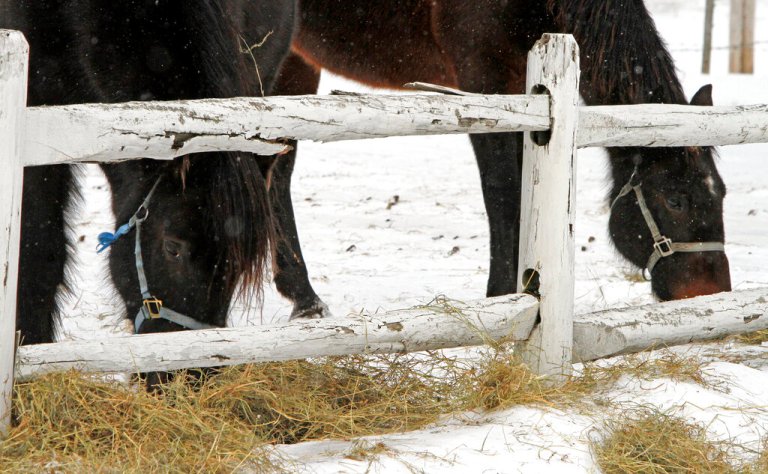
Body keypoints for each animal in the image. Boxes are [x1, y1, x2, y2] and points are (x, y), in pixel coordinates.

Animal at [266, 0, 731, 319]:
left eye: (721, 193)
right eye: (675, 199)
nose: (710, 292)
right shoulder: (483, 85)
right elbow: (503, 193)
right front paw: (504, 295)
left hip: (294, 62)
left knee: (276, 169)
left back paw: (303, 297)